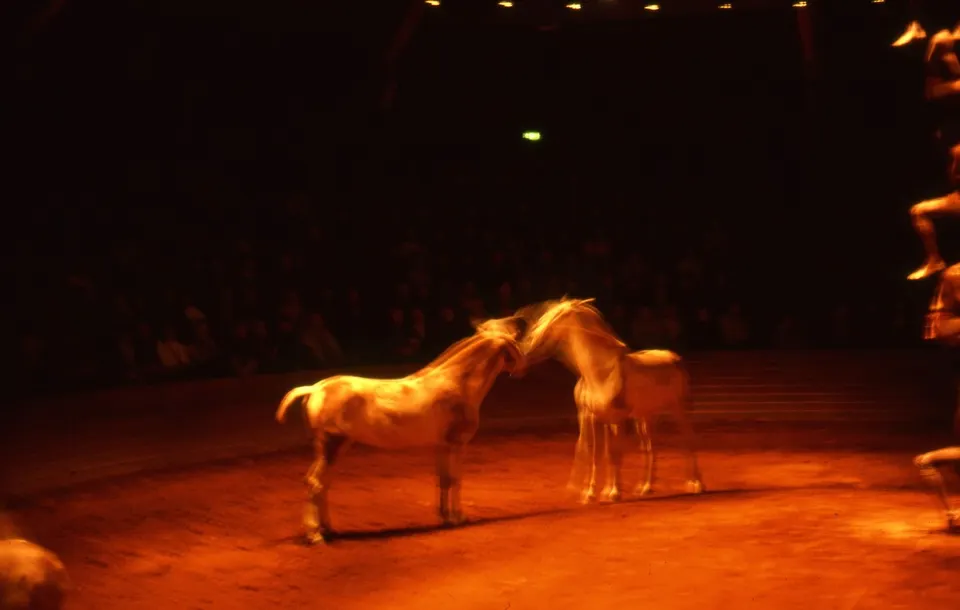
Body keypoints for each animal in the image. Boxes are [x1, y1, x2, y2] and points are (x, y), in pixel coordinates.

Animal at [275, 317, 525, 544]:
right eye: (513, 344)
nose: (522, 367)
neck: (457, 384)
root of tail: (316, 388)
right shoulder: (457, 444)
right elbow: (455, 480)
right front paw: (458, 518)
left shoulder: (442, 445)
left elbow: (444, 480)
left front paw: (445, 517)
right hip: (331, 445)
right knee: (314, 482)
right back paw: (315, 535)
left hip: (335, 447)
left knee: (322, 485)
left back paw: (329, 530)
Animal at [517, 297, 703, 504]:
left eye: (550, 322)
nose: (524, 352)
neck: (601, 373)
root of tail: (675, 358)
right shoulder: (594, 418)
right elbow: (596, 454)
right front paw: (591, 493)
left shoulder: (617, 420)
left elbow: (615, 454)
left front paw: (614, 493)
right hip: (645, 418)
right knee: (650, 448)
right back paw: (645, 488)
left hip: (679, 410)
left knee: (687, 440)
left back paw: (695, 485)